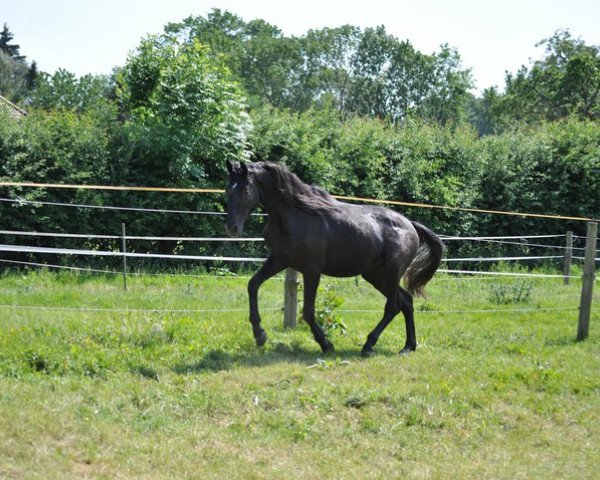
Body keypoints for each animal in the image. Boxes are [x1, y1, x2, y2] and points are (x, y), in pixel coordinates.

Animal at [223, 162, 442, 356]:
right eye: (227, 190)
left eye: (244, 189)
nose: (232, 229)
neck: (294, 214)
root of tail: (410, 225)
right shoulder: (279, 260)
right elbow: (253, 285)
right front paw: (259, 334)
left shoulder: (312, 269)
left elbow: (308, 311)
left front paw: (326, 344)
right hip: (376, 276)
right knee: (406, 301)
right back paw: (408, 347)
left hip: (389, 275)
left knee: (393, 306)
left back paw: (369, 346)